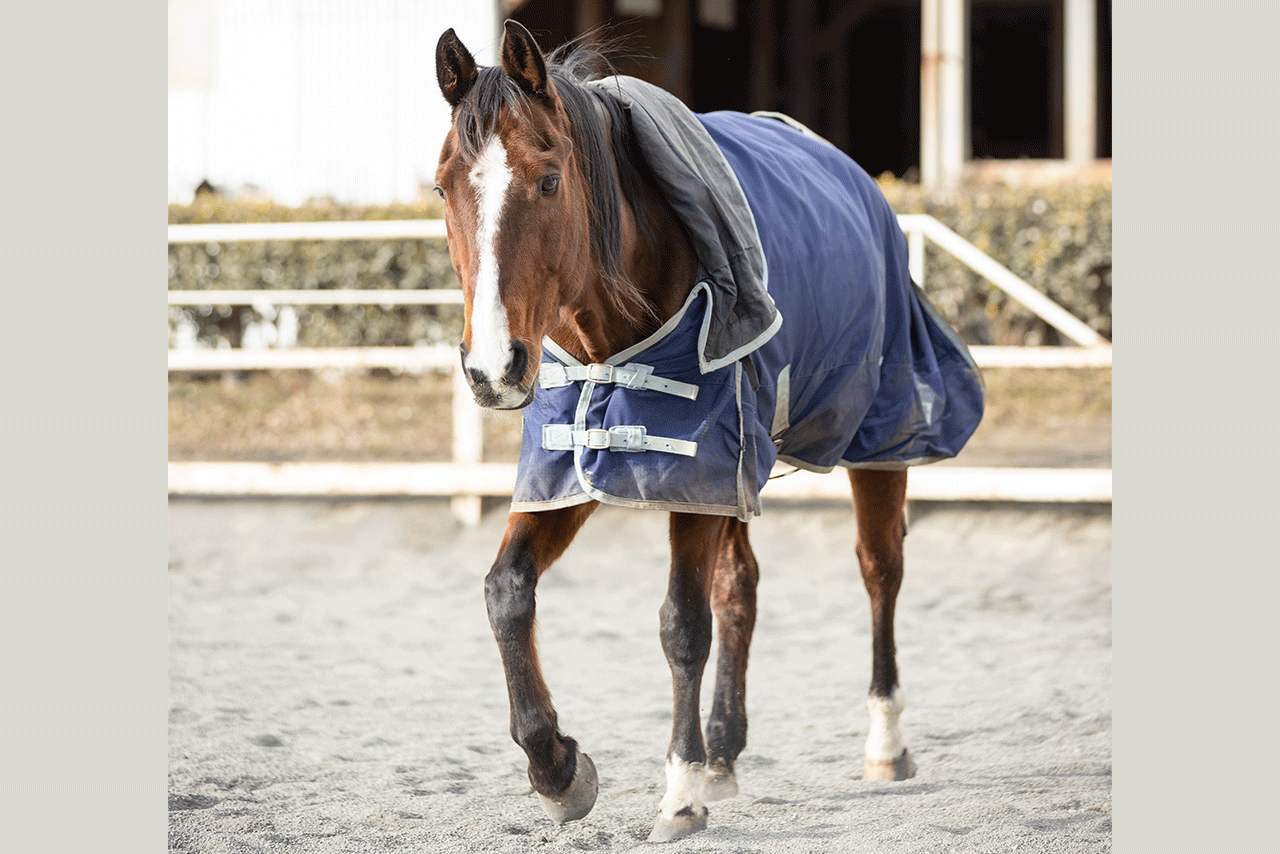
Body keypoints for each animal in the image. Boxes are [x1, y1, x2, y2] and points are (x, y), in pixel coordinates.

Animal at [432, 20, 984, 842]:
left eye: (548, 180)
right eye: (442, 187)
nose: (494, 366)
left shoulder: (693, 469)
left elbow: (681, 625)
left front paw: (679, 792)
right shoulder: (583, 469)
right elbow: (508, 592)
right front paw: (557, 768)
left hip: (873, 435)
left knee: (880, 569)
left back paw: (884, 744)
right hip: (737, 470)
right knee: (740, 587)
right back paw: (725, 749)